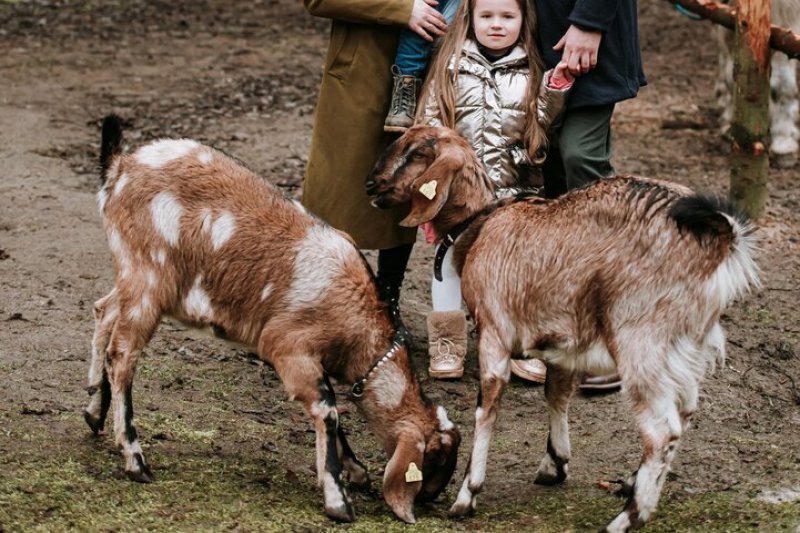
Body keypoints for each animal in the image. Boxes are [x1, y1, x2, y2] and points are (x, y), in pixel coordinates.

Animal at [84, 115, 460, 520]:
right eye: (435, 458)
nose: (429, 501)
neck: (356, 316)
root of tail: (120, 167)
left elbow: (333, 408)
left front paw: (355, 471)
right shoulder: (288, 348)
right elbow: (328, 409)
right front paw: (338, 499)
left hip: (135, 278)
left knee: (104, 311)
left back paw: (94, 412)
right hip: (148, 281)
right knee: (122, 356)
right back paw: (135, 459)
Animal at [366, 125, 760, 532]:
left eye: (415, 153)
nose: (371, 184)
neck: (481, 227)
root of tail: (720, 239)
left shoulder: (494, 333)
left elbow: (486, 409)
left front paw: (466, 495)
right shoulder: (562, 343)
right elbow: (555, 394)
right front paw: (554, 463)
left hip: (641, 340)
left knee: (662, 429)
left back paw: (627, 517)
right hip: (688, 344)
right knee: (685, 412)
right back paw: (633, 484)